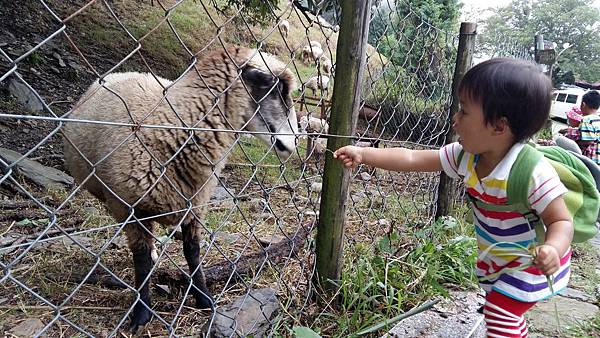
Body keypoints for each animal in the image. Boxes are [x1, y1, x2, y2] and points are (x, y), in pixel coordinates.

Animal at [62, 45, 298, 332]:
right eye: (277, 89)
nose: (296, 141)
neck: (171, 126)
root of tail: (123, 72)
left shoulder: (195, 204)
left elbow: (193, 253)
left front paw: (204, 298)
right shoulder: (129, 207)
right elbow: (140, 261)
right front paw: (141, 313)